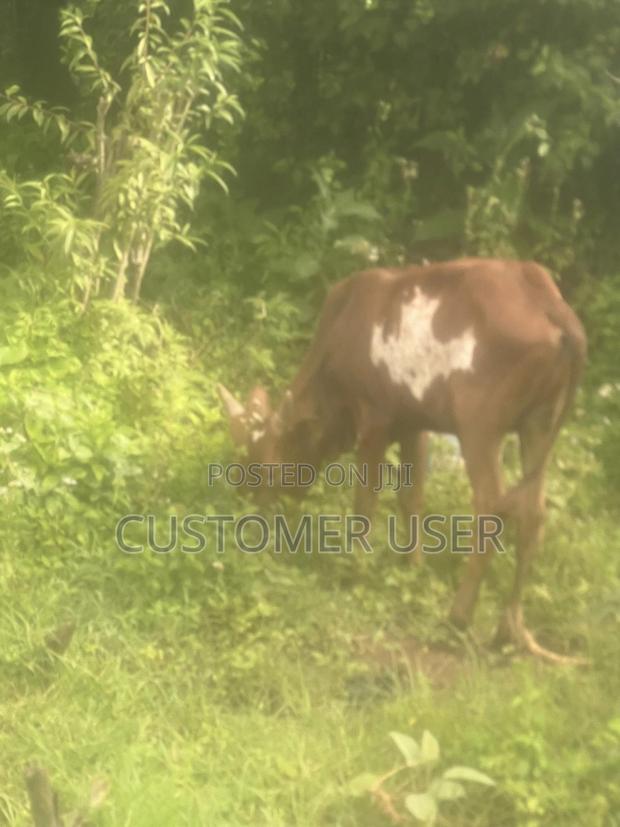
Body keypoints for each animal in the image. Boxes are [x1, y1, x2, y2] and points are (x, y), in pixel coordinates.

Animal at [218, 258, 587, 663]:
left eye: (265, 469)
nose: (252, 520)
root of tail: (552, 307)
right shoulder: (415, 423)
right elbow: (412, 499)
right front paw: (412, 568)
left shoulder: (374, 419)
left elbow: (366, 503)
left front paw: (355, 572)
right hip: (540, 424)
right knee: (534, 514)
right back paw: (510, 633)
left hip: (480, 426)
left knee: (493, 505)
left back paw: (458, 618)